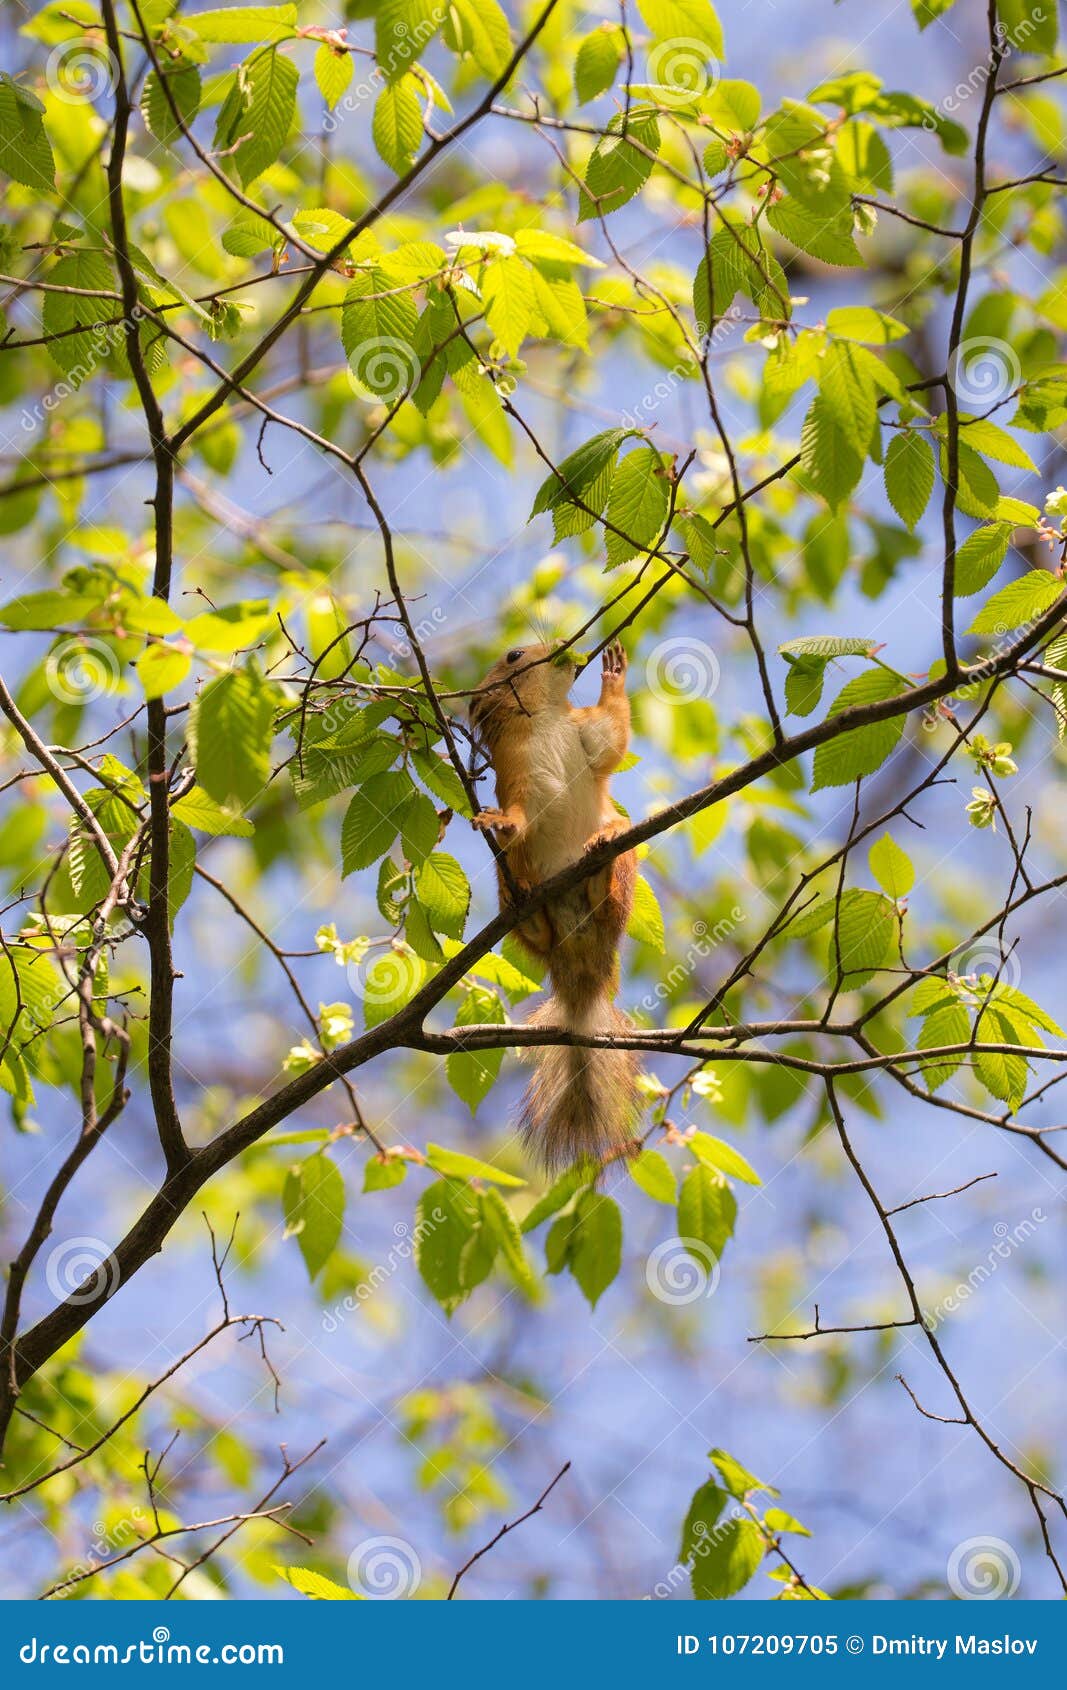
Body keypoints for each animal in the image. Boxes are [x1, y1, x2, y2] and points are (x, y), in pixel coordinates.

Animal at [470, 640, 638, 1171]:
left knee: (608, 901)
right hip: (515, 880)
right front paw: (500, 821)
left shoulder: (586, 730)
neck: (544, 717)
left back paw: (603, 860)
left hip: (625, 868)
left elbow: (610, 739)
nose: (563, 647)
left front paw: (614, 671)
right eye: (514, 655)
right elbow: (520, 814)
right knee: (537, 928)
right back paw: (522, 903)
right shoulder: (516, 775)